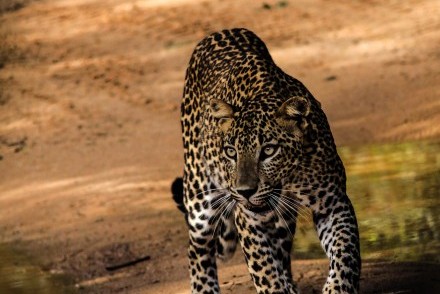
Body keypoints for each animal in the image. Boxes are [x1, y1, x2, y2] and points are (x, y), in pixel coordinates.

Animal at [172, 28, 360, 294]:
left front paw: (337, 287)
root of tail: (220, 31)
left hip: (282, 221)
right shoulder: (248, 219)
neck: (290, 178)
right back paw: (204, 288)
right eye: (231, 152)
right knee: (198, 249)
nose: (245, 191)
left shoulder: (333, 204)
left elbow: (345, 253)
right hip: (199, 196)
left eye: (269, 151)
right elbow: (265, 271)